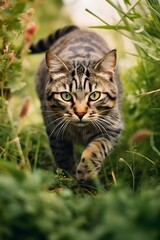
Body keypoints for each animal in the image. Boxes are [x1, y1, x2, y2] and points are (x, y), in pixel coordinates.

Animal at [30, 25, 122, 181]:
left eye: (94, 95)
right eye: (66, 96)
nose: (80, 113)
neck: (80, 130)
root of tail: (79, 29)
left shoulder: (112, 128)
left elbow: (96, 148)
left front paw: (86, 171)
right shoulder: (55, 132)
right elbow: (62, 156)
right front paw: (68, 177)